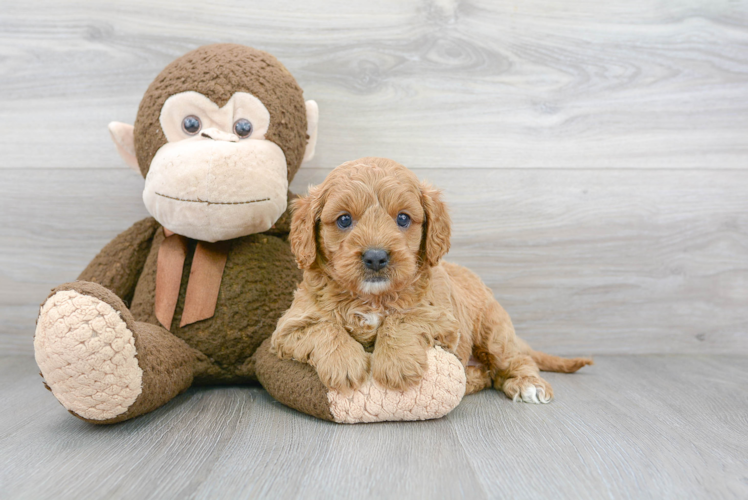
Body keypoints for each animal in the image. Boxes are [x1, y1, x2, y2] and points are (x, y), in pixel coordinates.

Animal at [268, 158, 592, 404]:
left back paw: (528, 384)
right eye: (344, 220)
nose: (375, 257)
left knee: (516, 361)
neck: (373, 298)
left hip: (494, 331)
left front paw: (396, 365)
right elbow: (325, 328)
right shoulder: (288, 328)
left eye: (403, 218)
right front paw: (344, 363)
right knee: (490, 374)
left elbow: (402, 319)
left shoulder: (444, 320)